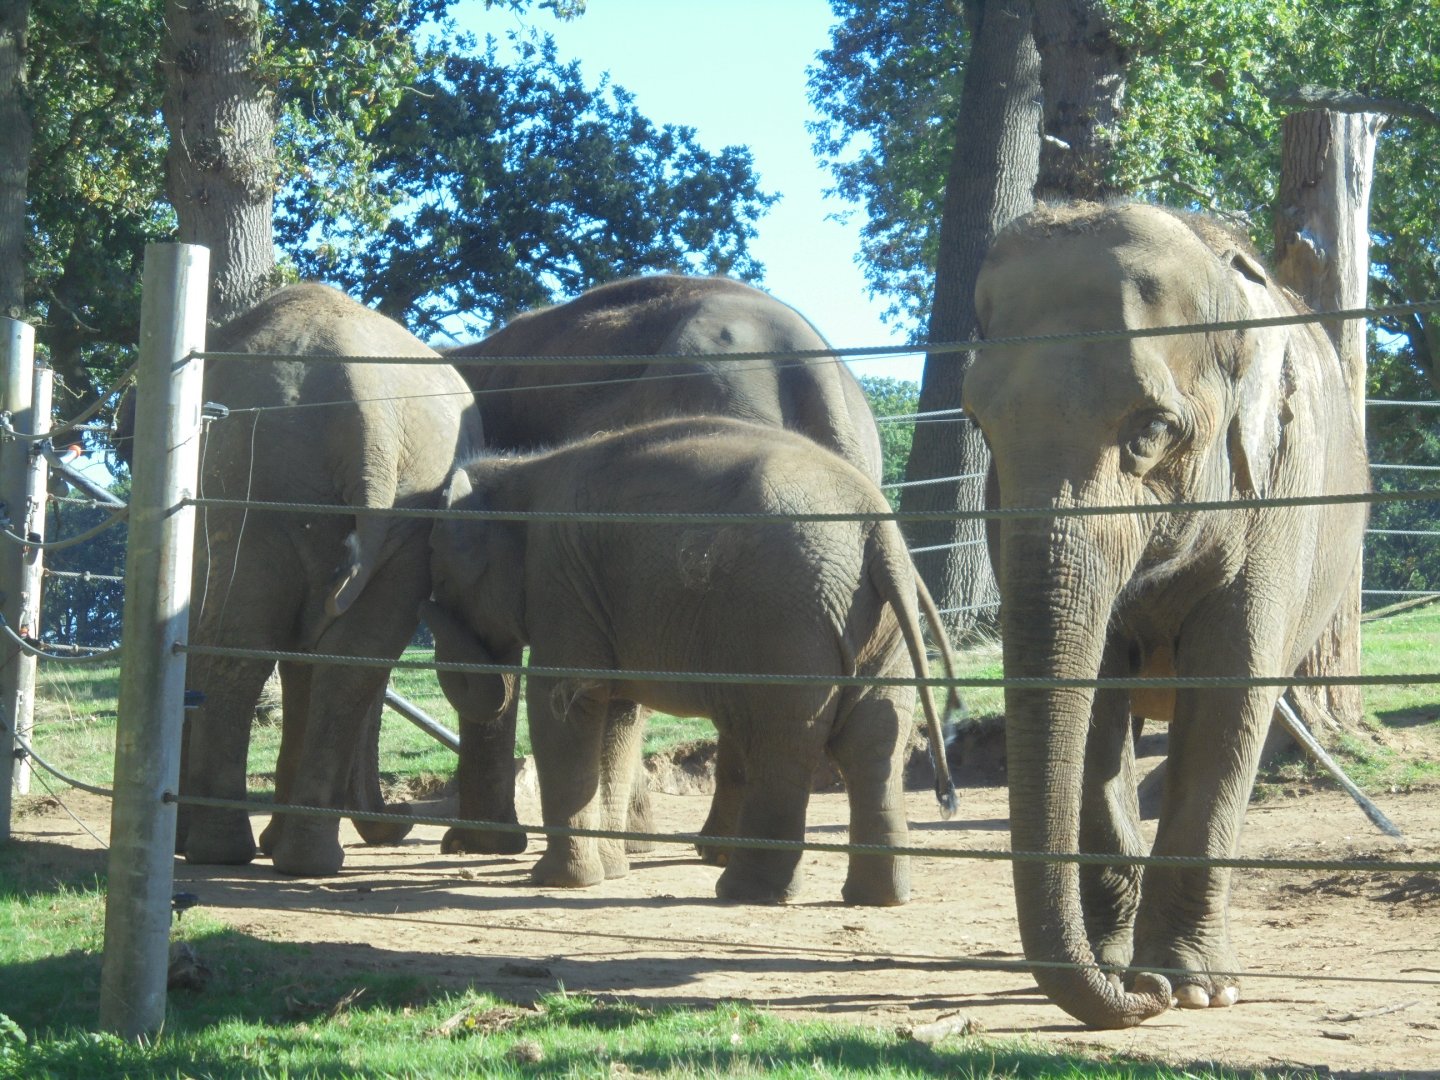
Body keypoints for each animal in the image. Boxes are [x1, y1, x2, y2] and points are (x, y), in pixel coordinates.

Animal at [129, 283, 482, 876]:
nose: (403, 817)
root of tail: (371, 420)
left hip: (260, 488)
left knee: (242, 645)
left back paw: (224, 851)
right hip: (400, 508)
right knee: (353, 659)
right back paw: (301, 859)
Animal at [422, 416, 960, 905]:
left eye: (441, 584)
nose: (432, 612)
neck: (521, 470)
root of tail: (877, 528)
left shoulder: (560, 576)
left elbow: (565, 703)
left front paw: (561, 881)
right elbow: (618, 716)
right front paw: (611, 873)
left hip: (784, 617)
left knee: (784, 740)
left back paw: (746, 892)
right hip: (875, 624)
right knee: (872, 743)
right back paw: (878, 897)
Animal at [964, 202, 1367, 1027]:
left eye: (1150, 431)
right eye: (981, 426)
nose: (1141, 997)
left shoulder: (1283, 490)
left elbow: (1231, 692)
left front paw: (1193, 990)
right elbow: (1095, 707)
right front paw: (1128, 972)